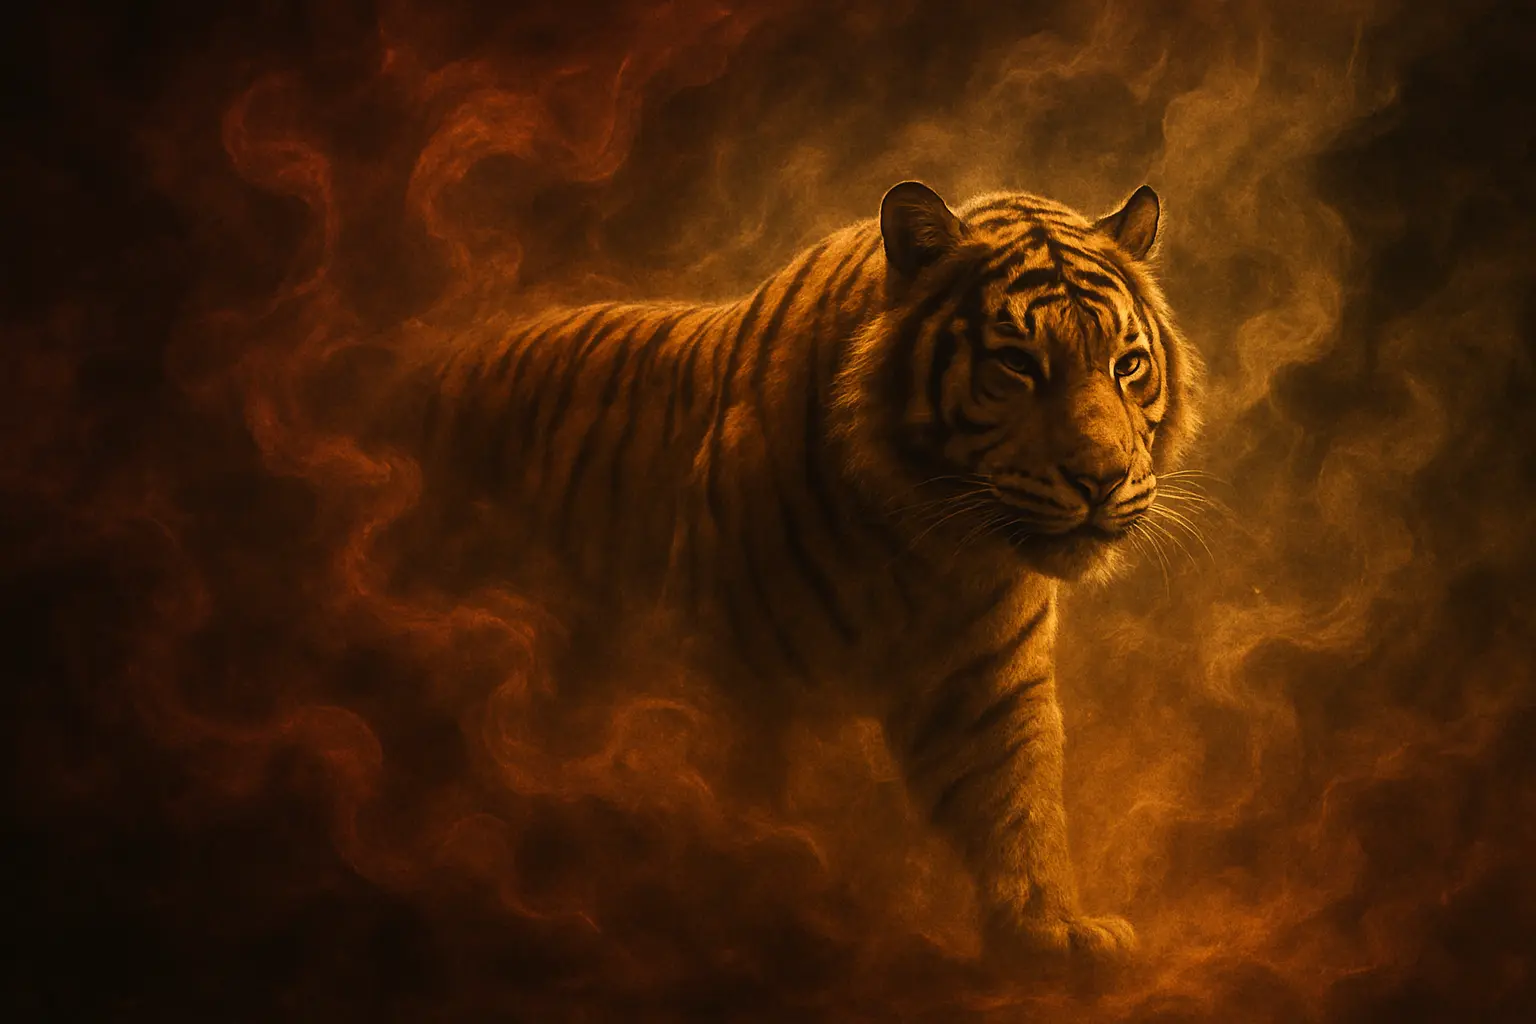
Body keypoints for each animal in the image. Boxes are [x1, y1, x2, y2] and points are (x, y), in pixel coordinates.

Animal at [408, 178, 1201, 968]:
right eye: (1017, 364)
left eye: (1127, 365)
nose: (1102, 479)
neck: (925, 542)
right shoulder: (735, 679)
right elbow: (739, 807)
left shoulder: (988, 681)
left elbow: (1015, 801)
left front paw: (1049, 927)